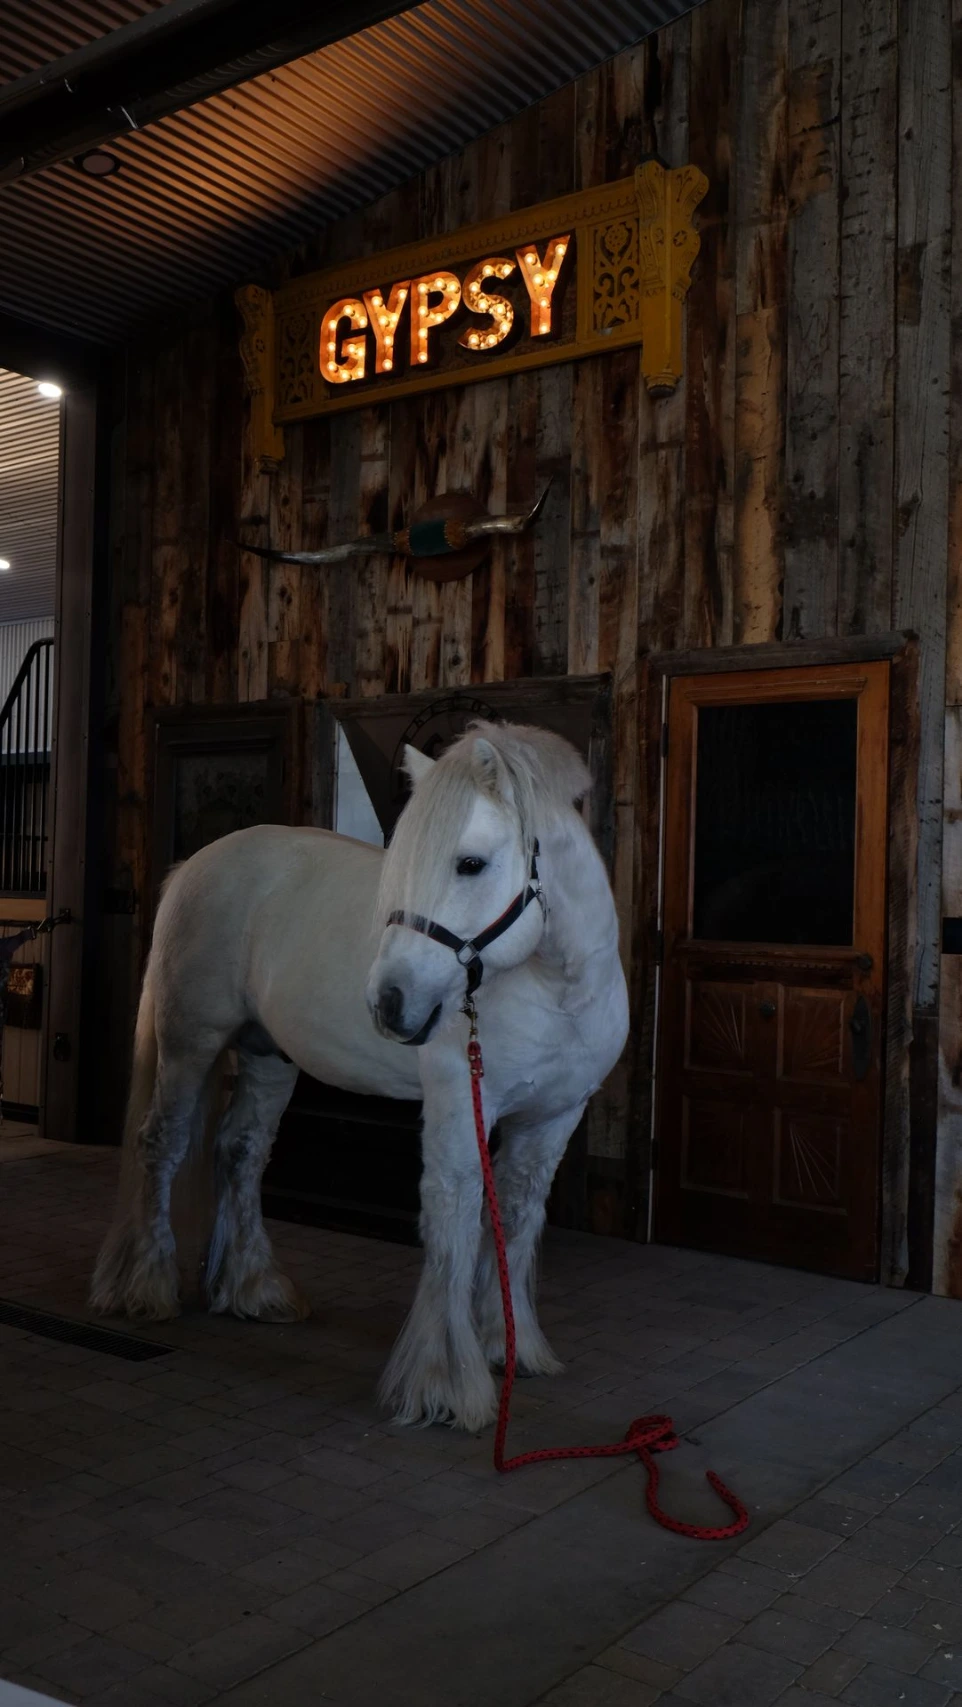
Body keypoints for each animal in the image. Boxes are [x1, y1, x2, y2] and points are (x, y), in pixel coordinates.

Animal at [90, 721, 629, 1431]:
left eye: (470, 863)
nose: (389, 1003)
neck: (558, 988)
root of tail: (198, 864)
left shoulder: (554, 1117)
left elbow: (513, 1217)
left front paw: (504, 1345)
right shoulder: (462, 1101)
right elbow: (454, 1217)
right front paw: (443, 1382)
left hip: (268, 1056)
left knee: (240, 1151)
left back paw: (253, 1289)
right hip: (190, 1043)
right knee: (163, 1145)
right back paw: (147, 1287)